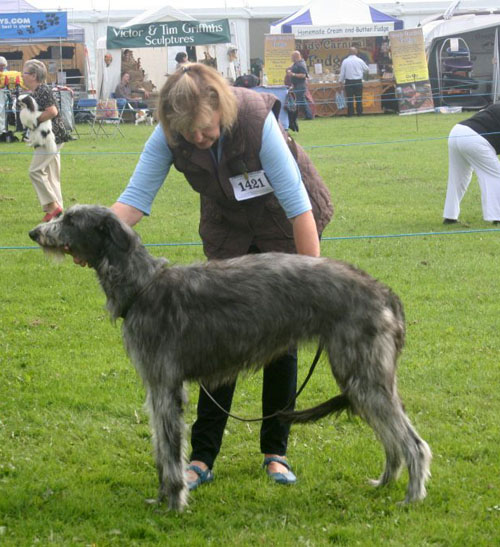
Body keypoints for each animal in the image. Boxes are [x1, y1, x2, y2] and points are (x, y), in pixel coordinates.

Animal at [29, 204, 432, 510]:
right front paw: (160, 498)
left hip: (363, 373)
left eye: (70, 220)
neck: (143, 286)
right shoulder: (156, 388)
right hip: (362, 378)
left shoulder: (166, 386)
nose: (34, 232)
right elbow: (161, 448)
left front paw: (173, 503)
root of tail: (382, 290)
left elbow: (170, 451)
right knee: (392, 440)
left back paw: (412, 497)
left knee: (413, 443)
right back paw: (384, 483)